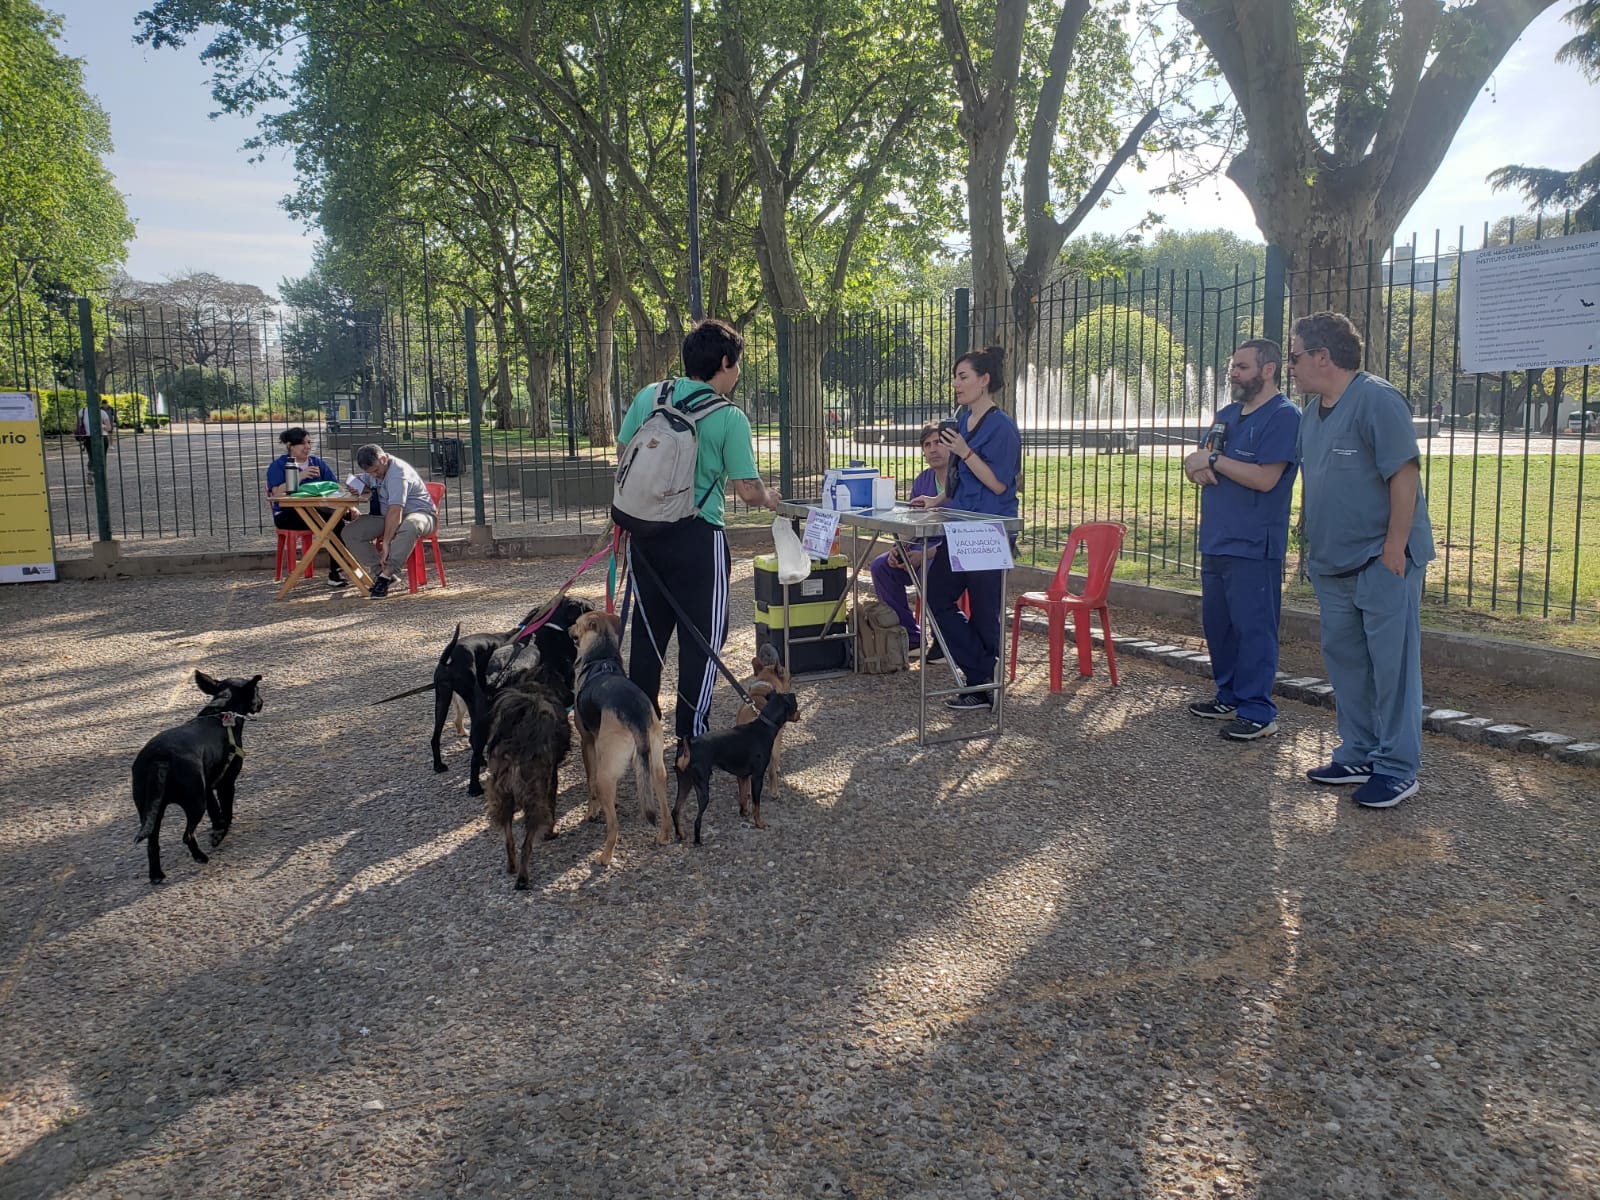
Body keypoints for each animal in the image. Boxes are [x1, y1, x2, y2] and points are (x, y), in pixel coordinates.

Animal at [132, 672, 264, 889]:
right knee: (187, 835)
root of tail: (161, 759)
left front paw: (217, 827)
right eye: (257, 691)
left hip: (150, 809)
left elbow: (216, 811)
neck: (222, 712)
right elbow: (226, 812)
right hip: (195, 802)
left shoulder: (208, 787)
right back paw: (200, 857)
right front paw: (219, 834)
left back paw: (156, 875)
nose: (261, 703)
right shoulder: (225, 784)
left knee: (152, 844)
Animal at [480, 662, 576, 896]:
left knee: (509, 839)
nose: (572, 695)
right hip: (534, 795)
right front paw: (550, 832)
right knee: (526, 844)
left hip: (502, 796)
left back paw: (511, 866)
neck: (538, 684)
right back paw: (523, 877)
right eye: (566, 679)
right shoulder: (551, 777)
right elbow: (552, 805)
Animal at [672, 691, 800, 851]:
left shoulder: (743, 776)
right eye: (796, 706)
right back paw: (698, 842)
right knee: (697, 820)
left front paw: (744, 813)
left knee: (675, 811)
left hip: (685, 783)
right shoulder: (757, 777)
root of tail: (688, 747)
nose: (799, 715)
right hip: (702, 788)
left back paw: (681, 835)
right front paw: (759, 824)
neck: (764, 727)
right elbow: (756, 805)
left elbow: (743, 796)